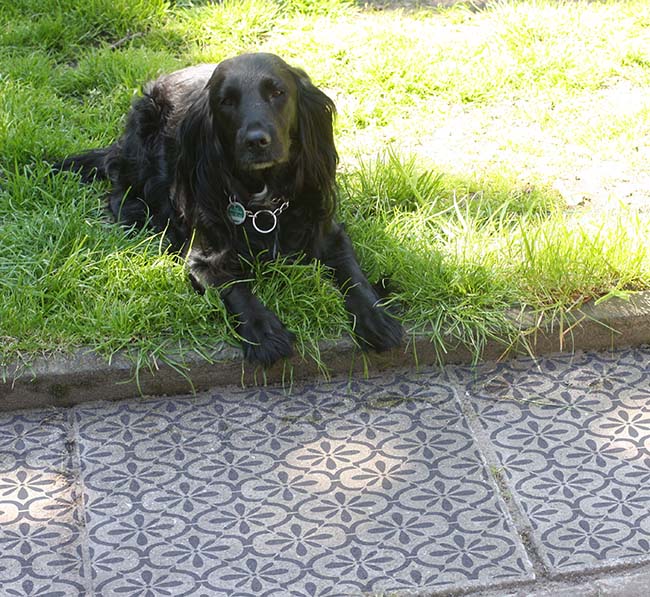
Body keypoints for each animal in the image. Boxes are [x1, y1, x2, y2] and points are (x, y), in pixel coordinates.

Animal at [54, 53, 400, 366]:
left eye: (277, 92)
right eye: (226, 101)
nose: (256, 141)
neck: (264, 206)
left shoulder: (329, 233)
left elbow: (352, 274)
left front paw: (376, 316)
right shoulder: (202, 256)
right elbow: (234, 287)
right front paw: (263, 333)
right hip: (142, 143)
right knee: (118, 188)